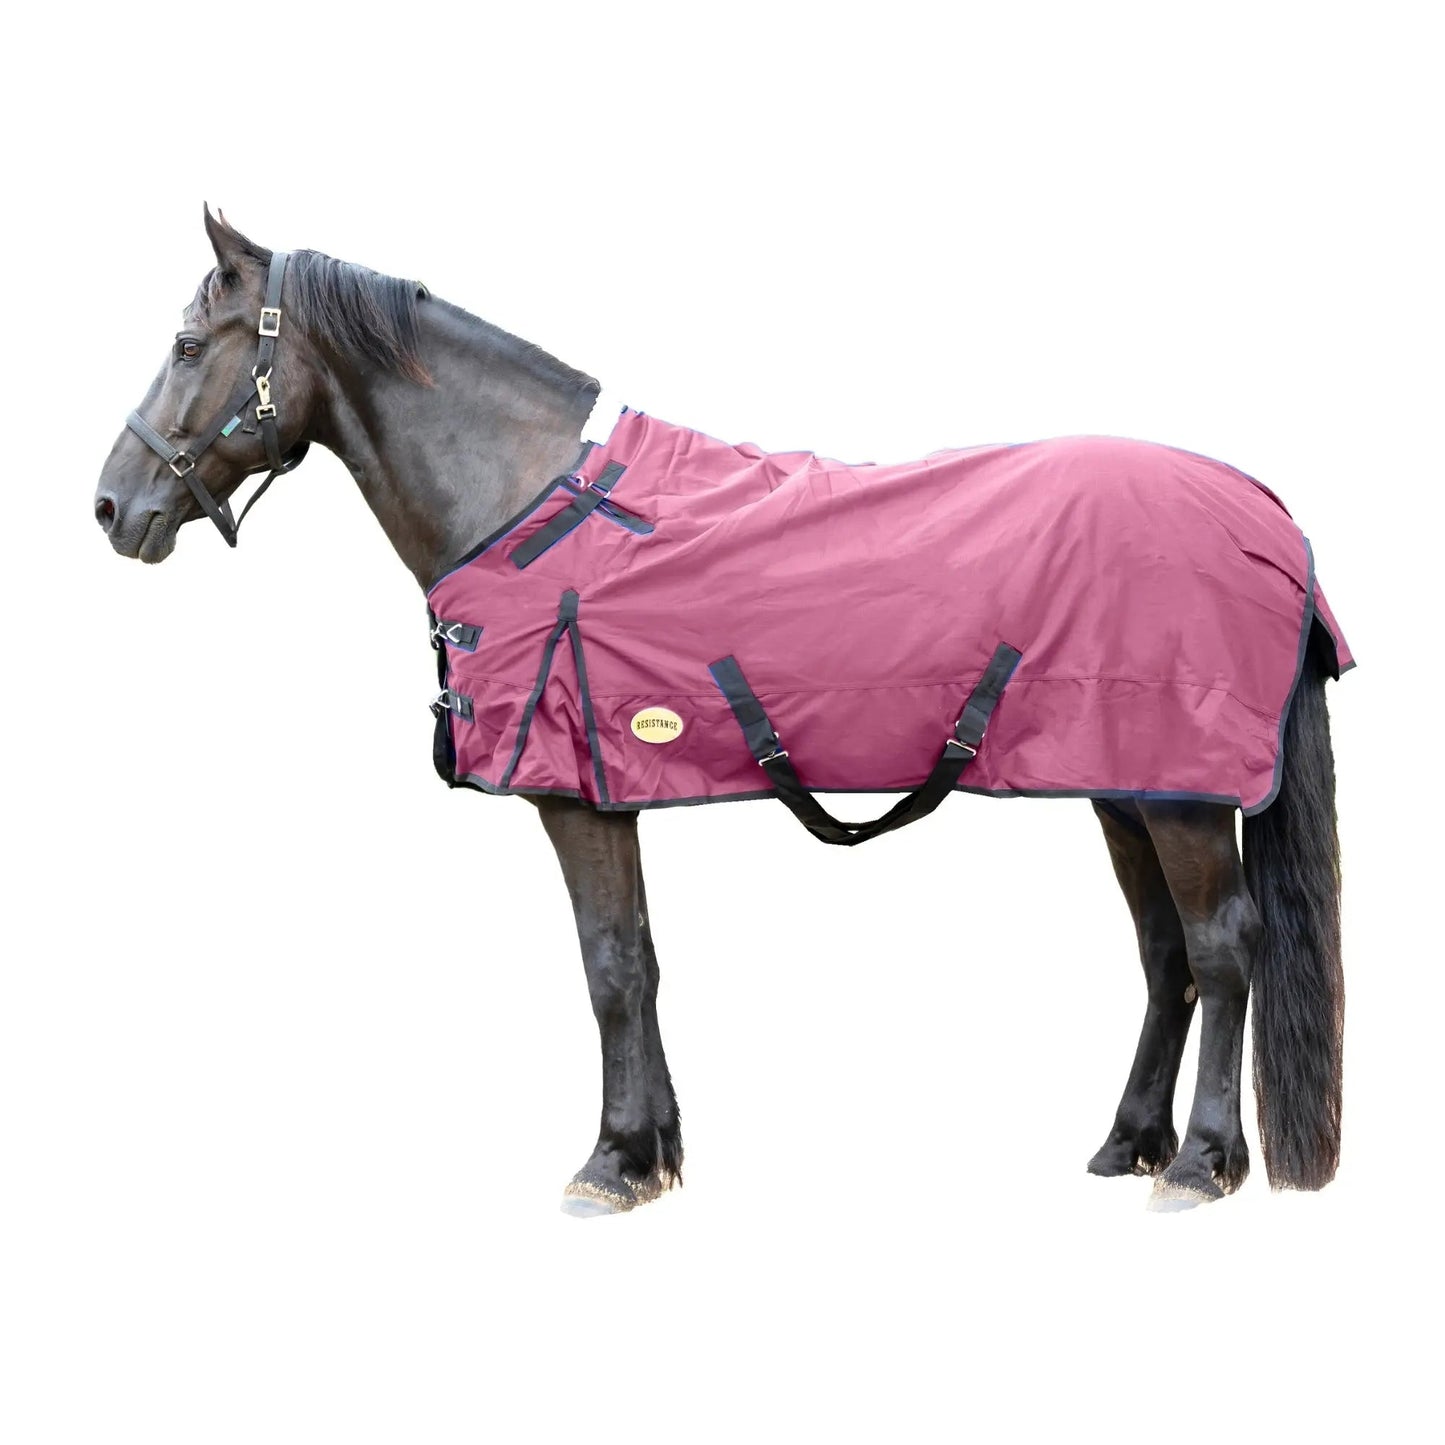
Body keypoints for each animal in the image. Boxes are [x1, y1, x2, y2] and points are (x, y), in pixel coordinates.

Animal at [94, 207, 1348, 1215]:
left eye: (188, 346)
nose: (110, 505)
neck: (527, 499)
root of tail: (1262, 509)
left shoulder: (572, 797)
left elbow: (606, 964)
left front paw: (608, 1162)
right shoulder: (610, 793)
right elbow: (642, 960)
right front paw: (653, 1151)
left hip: (1180, 795)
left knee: (1220, 947)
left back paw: (1198, 1162)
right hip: (1124, 784)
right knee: (1163, 951)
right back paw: (1125, 1141)